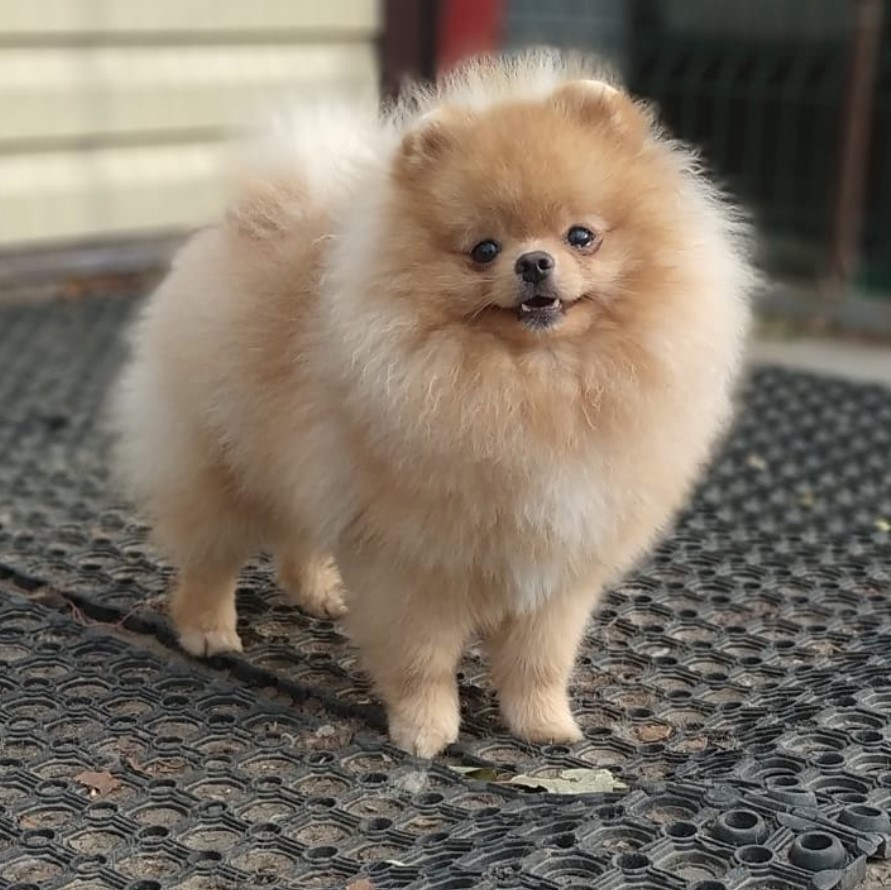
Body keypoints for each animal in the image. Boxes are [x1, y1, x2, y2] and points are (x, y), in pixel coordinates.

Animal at [113, 50, 752, 756]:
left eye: (581, 236)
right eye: (484, 249)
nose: (535, 262)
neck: (534, 383)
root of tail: (260, 211)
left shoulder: (556, 569)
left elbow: (538, 661)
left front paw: (544, 724)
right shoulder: (414, 564)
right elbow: (423, 660)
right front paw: (424, 729)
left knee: (299, 534)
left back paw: (320, 592)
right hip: (215, 462)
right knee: (209, 556)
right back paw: (208, 628)